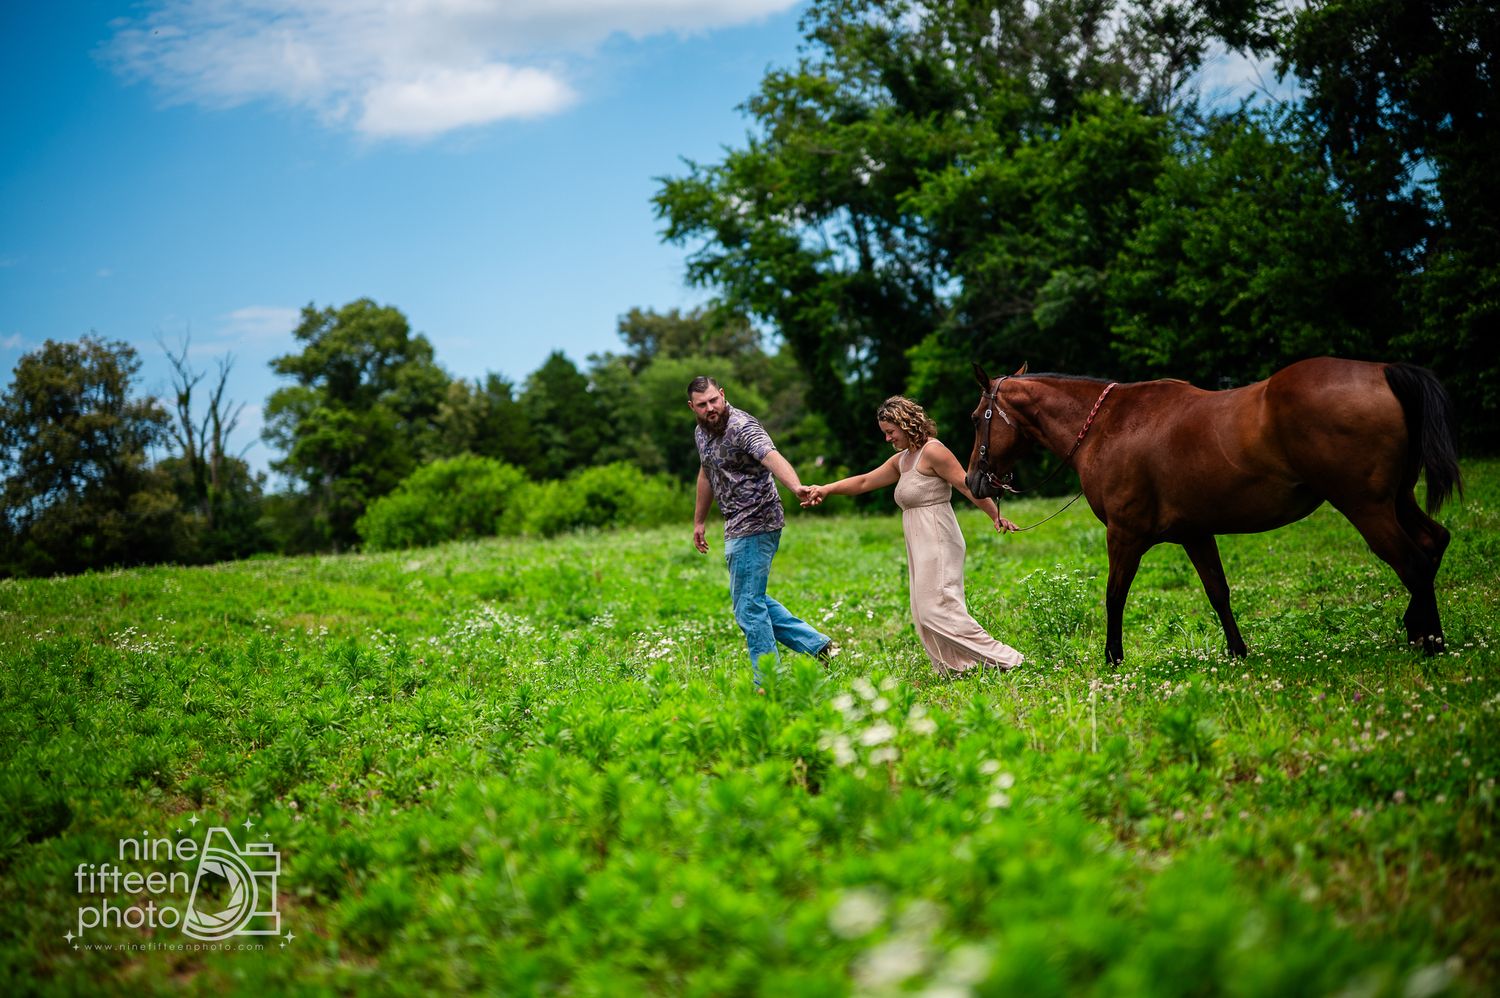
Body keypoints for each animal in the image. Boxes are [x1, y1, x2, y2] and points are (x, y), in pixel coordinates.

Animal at [966, 357, 1463, 664]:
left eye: (975, 418)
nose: (973, 481)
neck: (1109, 426)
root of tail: (1383, 372)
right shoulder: (1196, 533)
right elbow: (1218, 592)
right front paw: (1239, 651)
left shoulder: (1125, 535)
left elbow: (1114, 596)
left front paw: (1113, 658)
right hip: (1397, 500)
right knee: (1433, 542)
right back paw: (1419, 629)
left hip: (1366, 507)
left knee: (1413, 562)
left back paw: (1431, 641)